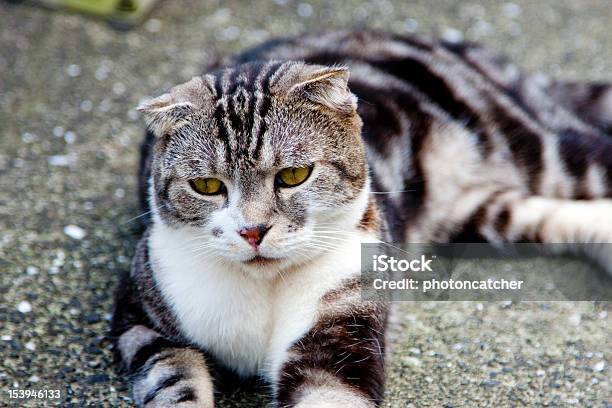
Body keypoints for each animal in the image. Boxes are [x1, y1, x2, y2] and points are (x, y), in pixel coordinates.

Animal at [111, 30, 612, 406]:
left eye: (294, 175)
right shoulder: (140, 315)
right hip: (476, 213)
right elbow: (171, 379)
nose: (252, 231)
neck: (263, 290)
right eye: (207, 186)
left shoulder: (340, 331)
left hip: (539, 150)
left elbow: (331, 393)